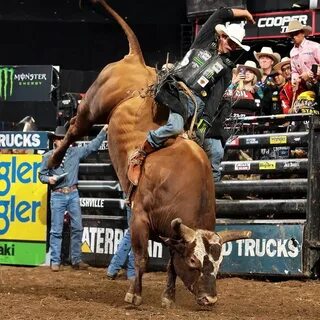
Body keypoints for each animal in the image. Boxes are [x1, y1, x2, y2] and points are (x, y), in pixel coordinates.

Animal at [48, 0, 252, 308]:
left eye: (218, 266)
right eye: (194, 261)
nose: (210, 299)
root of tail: (136, 60)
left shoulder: (172, 235)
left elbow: (170, 266)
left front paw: (168, 297)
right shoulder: (140, 219)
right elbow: (142, 259)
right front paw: (134, 295)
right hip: (93, 104)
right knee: (73, 128)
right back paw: (52, 161)